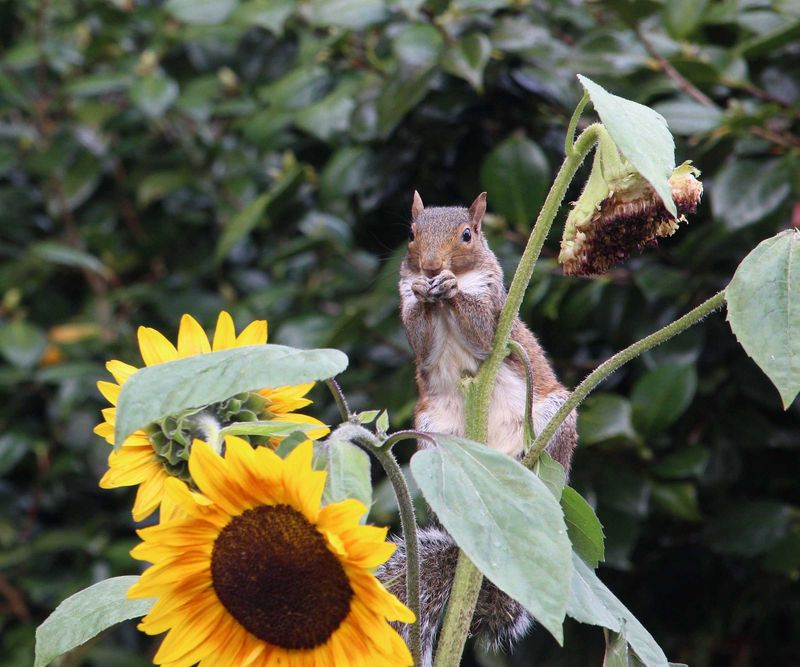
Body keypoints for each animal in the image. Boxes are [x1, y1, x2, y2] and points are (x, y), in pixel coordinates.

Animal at [377, 191, 578, 665]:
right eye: (411, 234)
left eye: (467, 235)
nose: (432, 268)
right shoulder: (409, 314)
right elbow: (420, 335)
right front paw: (425, 292)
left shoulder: (494, 306)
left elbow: (484, 332)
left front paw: (450, 288)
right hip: (434, 436)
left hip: (553, 422)